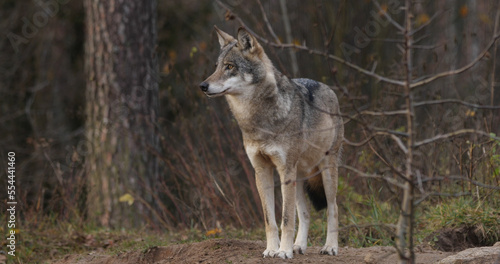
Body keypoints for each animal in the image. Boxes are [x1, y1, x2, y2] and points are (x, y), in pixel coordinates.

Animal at [199, 26, 344, 260]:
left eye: (230, 67)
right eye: (217, 67)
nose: (202, 86)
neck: (257, 121)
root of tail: (327, 87)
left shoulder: (284, 171)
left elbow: (285, 218)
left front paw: (283, 252)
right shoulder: (261, 171)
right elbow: (271, 220)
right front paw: (272, 249)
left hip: (324, 172)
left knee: (333, 208)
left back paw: (330, 247)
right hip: (298, 177)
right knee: (304, 213)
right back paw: (299, 246)